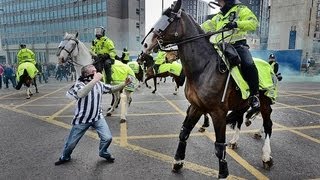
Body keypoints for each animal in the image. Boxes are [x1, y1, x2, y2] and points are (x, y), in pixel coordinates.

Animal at [142, 0, 276, 178]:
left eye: (169, 19)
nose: (145, 45)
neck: (204, 68)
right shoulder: (196, 106)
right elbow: (184, 133)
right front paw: (178, 161)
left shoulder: (218, 112)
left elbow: (219, 145)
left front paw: (223, 173)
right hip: (241, 103)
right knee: (240, 119)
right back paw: (235, 141)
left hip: (265, 103)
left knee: (268, 125)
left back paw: (266, 155)